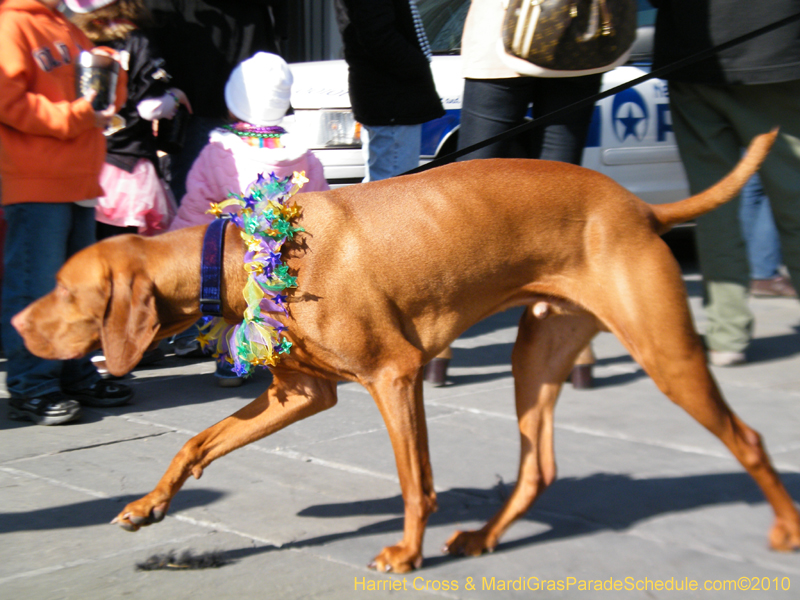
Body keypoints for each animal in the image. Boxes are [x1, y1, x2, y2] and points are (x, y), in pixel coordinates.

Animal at [12, 131, 800, 572]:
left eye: (63, 288)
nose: (16, 321)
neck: (245, 253)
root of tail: (639, 205)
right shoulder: (301, 393)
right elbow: (197, 443)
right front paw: (148, 506)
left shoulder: (395, 375)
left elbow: (414, 479)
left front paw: (406, 553)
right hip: (536, 356)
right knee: (538, 468)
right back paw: (481, 538)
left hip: (667, 355)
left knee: (749, 439)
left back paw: (785, 528)